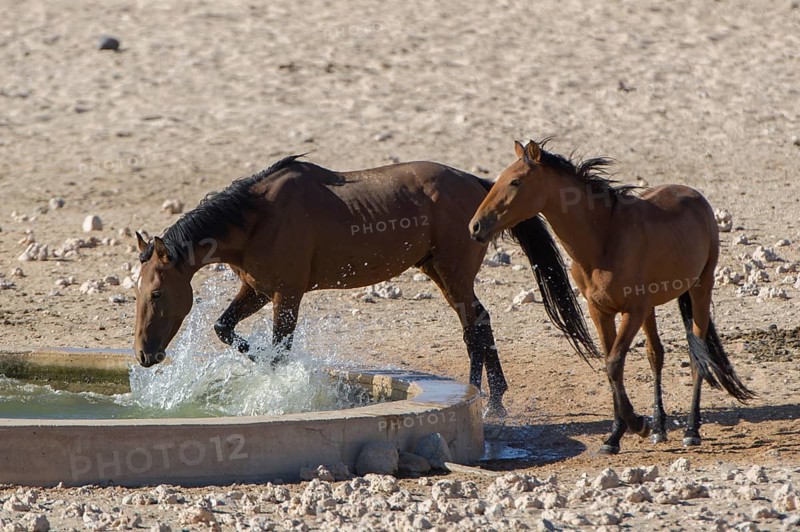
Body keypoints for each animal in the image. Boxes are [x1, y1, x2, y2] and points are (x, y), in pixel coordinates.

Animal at [133, 155, 598, 417]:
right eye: (137, 294)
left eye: (157, 293)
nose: (143, 355)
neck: (258, 216)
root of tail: (481, 187)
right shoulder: (257, 290)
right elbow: (224, 328)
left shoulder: (286, 295)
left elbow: (279, 350)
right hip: (440, 273)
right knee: (478, 324)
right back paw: (490, 396)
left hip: (454, 275)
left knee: (476, 325)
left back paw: (491, 398)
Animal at [470, 139, 754, 452]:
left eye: (516, 181)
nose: (475, 226)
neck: (603, 239)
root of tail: (696, 197)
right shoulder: (600, 311)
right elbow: (611, 366)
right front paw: (617, 435)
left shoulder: (632, 311)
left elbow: (615, 363)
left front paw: (637, 424)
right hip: (653, 308)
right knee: (656, 355)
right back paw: (660, 427)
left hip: (700, 290)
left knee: (696, 359)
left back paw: (691, 430)